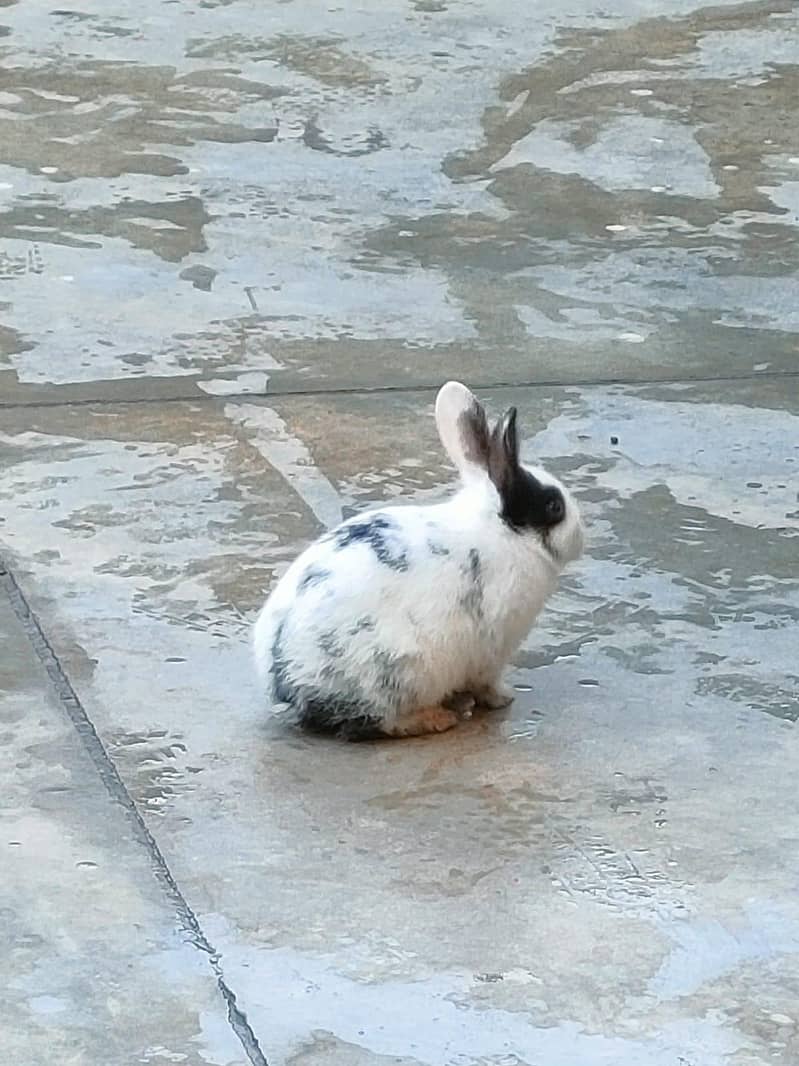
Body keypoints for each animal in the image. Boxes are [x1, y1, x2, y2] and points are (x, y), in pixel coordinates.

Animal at [253, 381, 584, 740]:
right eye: (554, 506)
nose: (581, 538)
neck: (503, 532)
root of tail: (288, 676)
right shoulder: (492, 651)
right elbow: (487, 683)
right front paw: (503, 698)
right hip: (401, 671)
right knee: (384, 720)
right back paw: (438, 718)